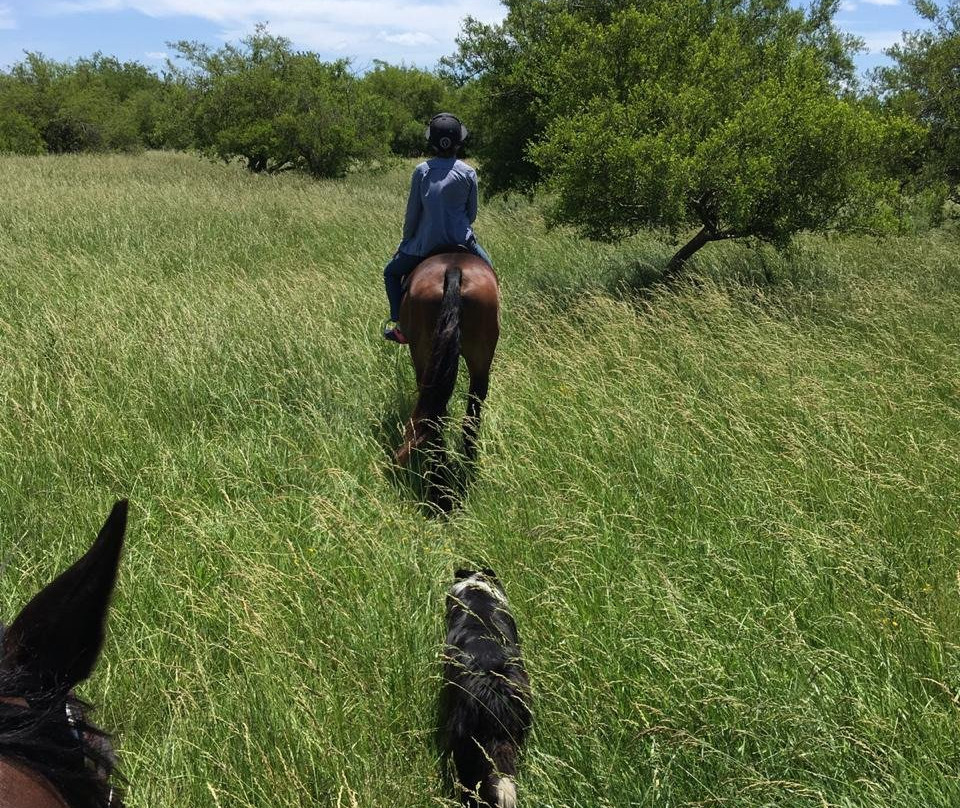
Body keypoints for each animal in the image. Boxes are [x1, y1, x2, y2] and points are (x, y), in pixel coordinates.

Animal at [394, 249, 500, 487]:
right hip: (481, 360)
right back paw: (467, 466)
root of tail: (454, 270)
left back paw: (438, 473)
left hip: (423, 356)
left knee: (432, 415)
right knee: (471, 413)